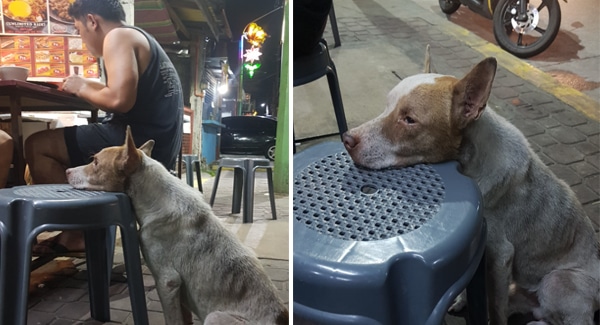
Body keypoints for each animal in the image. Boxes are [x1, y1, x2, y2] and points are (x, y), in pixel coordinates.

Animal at [65, 126, 288, 324]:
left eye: (95, 161)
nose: (66, 171)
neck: (156, 201)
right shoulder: (177, 292)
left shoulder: (167, 282)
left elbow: (172, 319)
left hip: (214, 317)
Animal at [342, 48, 600, 324]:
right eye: (387, 106)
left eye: (409, 119)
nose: (347, 139)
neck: (469, 163)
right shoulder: (476, 247)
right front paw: (462, 300)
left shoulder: (500, 255)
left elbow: (496, 311)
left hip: (557, 281)